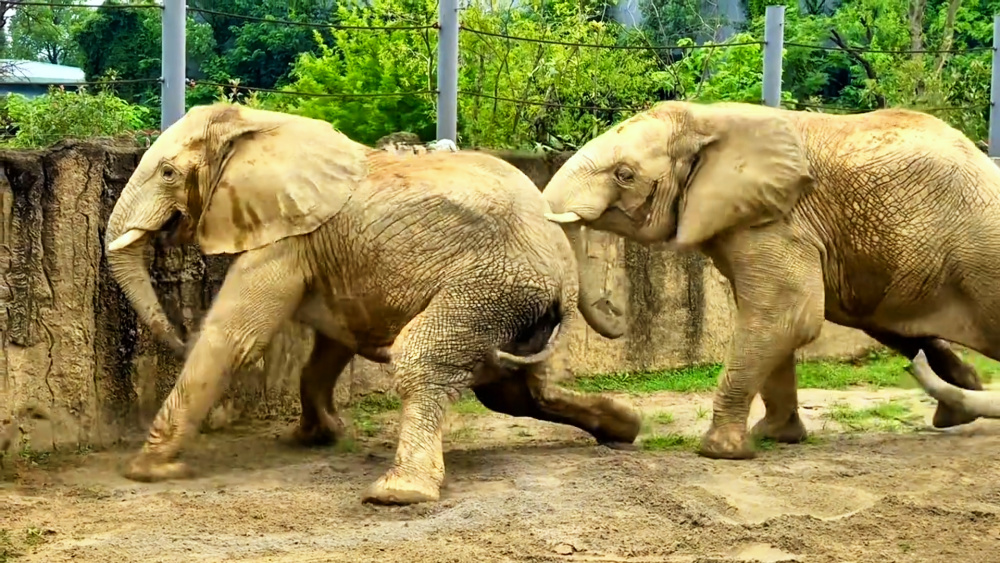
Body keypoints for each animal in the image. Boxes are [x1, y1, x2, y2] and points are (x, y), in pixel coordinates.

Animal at [104, 102, 641, 505]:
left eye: (168, 172)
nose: (175, 335)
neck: (260, 122)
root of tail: (567, 274)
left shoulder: (288, 237)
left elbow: (234, 337)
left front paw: (148, 470)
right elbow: (332, 342)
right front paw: (316, 436)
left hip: (493, 285)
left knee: (425, 358)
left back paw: (397, 494)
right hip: (516, 304)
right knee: (514, 392)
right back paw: (624, 429)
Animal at [540, 99, 999, 460]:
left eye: (625, 174)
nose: (616, 311)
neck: (705, 118)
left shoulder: (779, 222)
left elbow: (786, 315)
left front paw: (720, 452)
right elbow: (771, 318)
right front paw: (774, 438)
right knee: (892, 326)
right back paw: (953, 413)